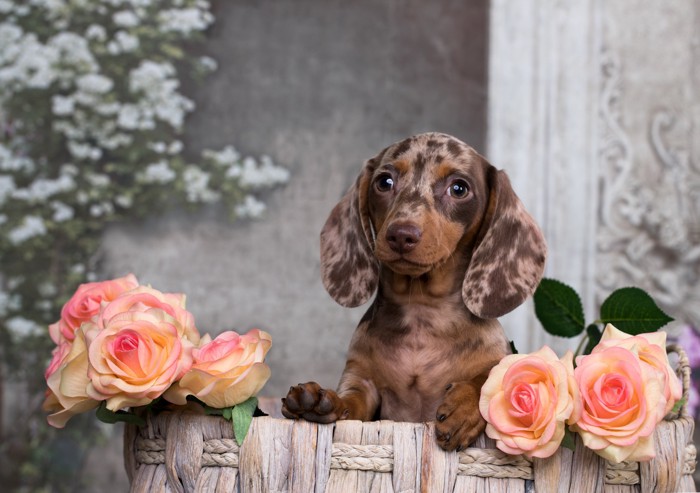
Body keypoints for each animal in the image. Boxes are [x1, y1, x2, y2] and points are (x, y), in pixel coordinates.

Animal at [280, 131, 548, 450]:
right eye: (384, 182)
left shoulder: (497, 360)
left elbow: (487, 377)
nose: (401, 235)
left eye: (459, 188)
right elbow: (352, 402)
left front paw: (464, 407)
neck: (422, 312)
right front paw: (321, 401)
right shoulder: (362, 380)